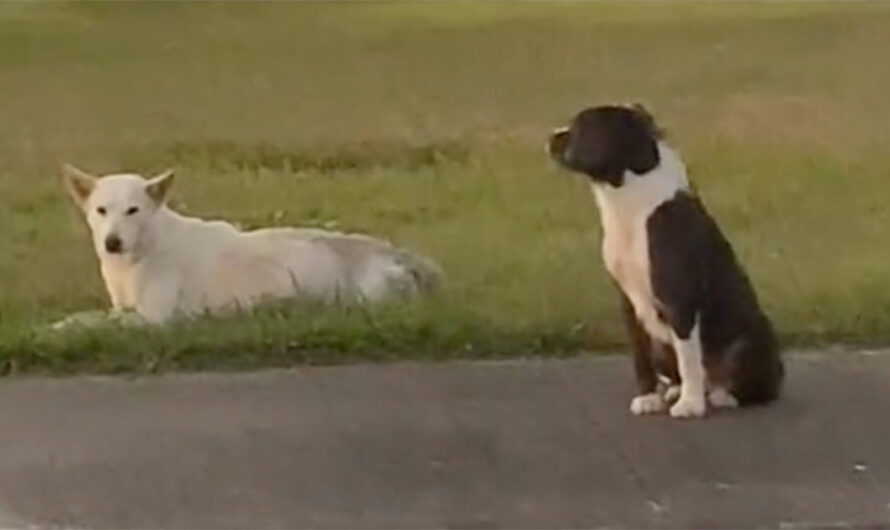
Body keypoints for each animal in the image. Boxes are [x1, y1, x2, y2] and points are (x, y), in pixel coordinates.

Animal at [56, 165, 440, 326]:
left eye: (133, 210)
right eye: (101, 210)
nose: (112, 242)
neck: (146, 247)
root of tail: (399, 253)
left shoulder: (153, 319)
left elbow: (90, 322)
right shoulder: (124, 308)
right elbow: (87, 316)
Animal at [544, 103, 780, 416]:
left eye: (581, 127)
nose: (551, 136)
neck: (631, 195)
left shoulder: (679, 297)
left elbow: (689, 358)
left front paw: (690, 405)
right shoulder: (628, 302)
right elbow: (640, 356)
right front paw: (648, 397)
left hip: (748, 342)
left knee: (749, 385)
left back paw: (720, 395)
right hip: (662, 344)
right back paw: (678, 390)